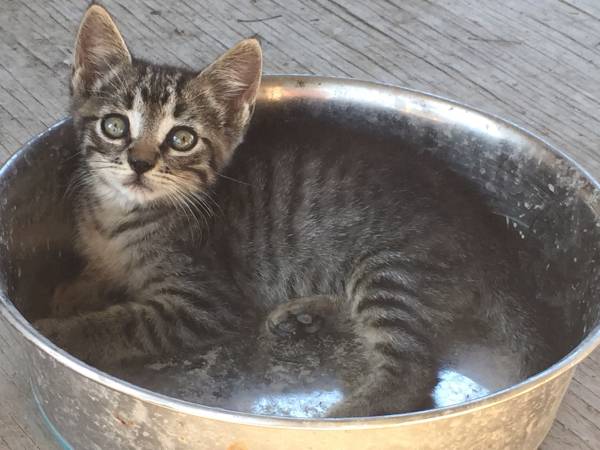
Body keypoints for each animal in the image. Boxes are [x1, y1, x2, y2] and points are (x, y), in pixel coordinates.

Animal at [35, 4, 548, 418]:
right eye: (114, 126)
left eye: (182, 138)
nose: (139, 163)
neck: (120, 216)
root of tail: (487, 232)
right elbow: (97, 276)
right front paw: (72, 291)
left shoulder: (207, 305)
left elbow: (122, 322)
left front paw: (59, 330)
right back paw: (306, 315)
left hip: (393, 269)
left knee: (413, 375)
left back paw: (344, 418)